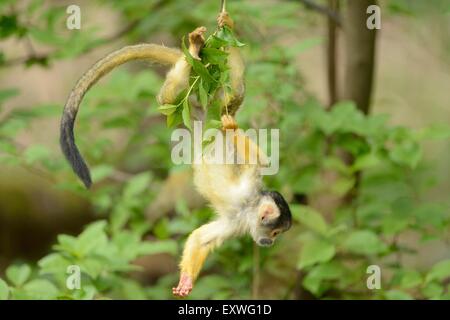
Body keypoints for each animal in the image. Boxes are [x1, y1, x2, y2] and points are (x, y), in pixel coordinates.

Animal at [59, 11, 292, 298]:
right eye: (276, 232)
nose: (270, 243)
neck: (248, 207)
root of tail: (205, 104)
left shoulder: (237, 224)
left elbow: (201, 238)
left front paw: (186, 281)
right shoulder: (248, 188)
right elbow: (262, 161)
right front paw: (231, 128)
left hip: (192, 107)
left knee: (230, 94)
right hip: (189, 102)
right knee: (188, 97)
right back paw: (201, 48)